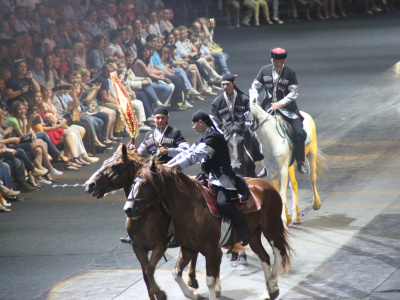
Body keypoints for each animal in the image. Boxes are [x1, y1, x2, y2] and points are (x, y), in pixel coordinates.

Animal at [86, 144, 202, 298]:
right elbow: (146, 276)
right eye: (105, 162)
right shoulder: (138, 248)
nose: (90, 184)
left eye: (115, 165)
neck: (143, 215)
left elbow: (149, 269)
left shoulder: (160, 246)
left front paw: (160, 293)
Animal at [126, 163, 292, 300]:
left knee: (279, 253)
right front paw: (192, 293)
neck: (190, 208)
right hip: (253, 236)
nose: (128, 209)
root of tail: (266, 185)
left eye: (144, 184)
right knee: (264, 257)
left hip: (270, 228)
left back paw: (272, 284)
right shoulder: (188, 248)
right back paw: (269, 291)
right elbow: (176, 273)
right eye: (132, 183)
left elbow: (210, 280)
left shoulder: (211, 249)